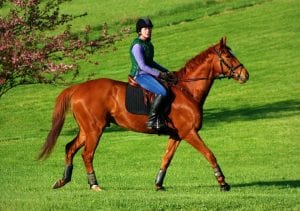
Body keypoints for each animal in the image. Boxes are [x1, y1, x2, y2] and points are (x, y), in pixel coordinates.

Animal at [38, 37, 248, 191]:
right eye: (228, 56)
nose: (245, 75)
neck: (187, 90)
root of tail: (77, 89)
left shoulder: (176, 135)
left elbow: (166, 159)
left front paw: (158, 184)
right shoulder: (189, 133)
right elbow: (210, 154)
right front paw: (223, 183)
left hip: (86, 130)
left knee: (70, 148)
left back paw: (63, 180)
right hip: (94, 130)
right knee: (87, 154)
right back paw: (94, 185)